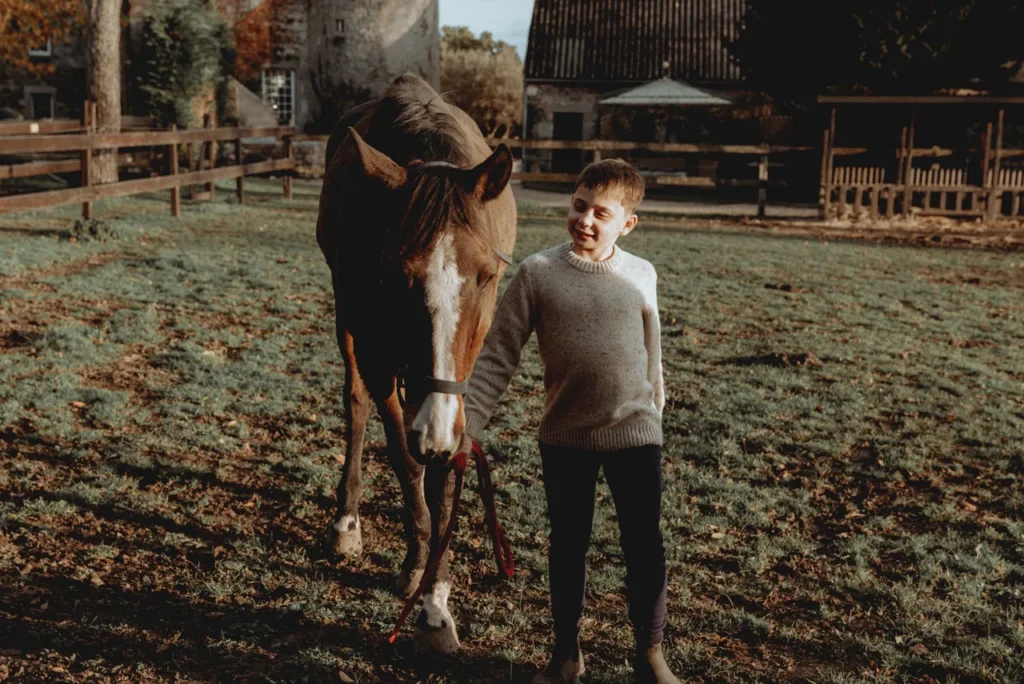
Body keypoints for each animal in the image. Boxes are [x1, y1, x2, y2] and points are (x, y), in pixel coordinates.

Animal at [315, 73, 517, 653]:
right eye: (392, 273)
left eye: (487, 276)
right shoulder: (382, 359)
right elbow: (406, 457)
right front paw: (415, 567)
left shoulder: (458, 383)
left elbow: (445, 471)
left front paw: (434, 599)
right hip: (348, 325)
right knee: (356, 406)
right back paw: (347, 522)